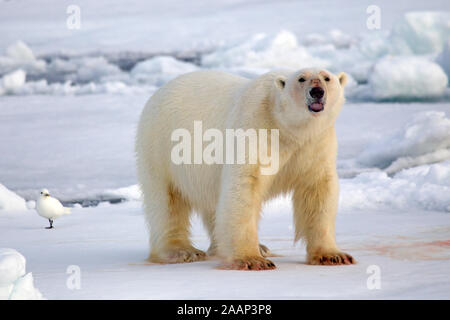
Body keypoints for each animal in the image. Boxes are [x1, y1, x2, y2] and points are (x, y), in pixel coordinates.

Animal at [135, 68, 354, 270]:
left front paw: (333, 256)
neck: (287, 128)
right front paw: (252, 259)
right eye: (301, 79)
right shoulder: (255, 127)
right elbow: (245, 186)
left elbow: (318, 191)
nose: (317, 91)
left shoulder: (316, 144)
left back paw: (251, 247)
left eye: (327, 78)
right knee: (167, 201)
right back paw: (181, 251)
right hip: (161, 146)